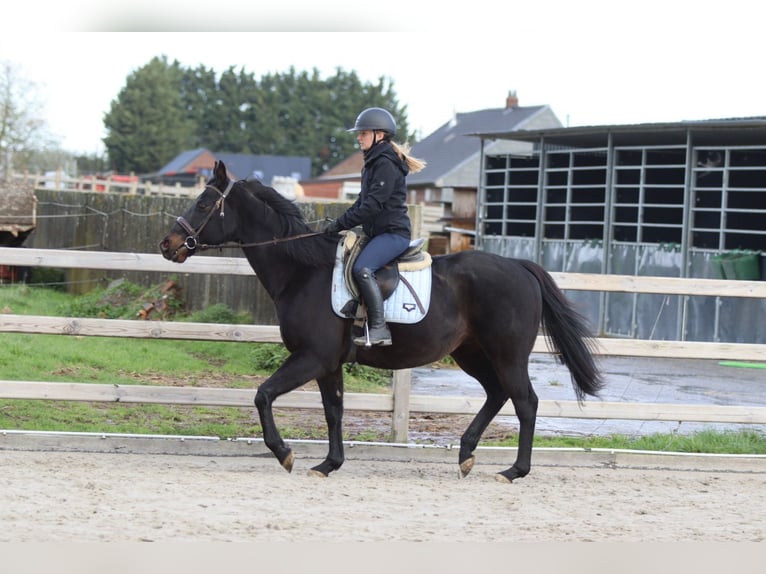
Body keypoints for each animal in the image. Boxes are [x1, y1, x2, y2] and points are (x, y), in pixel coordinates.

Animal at [159, 160, 604, 483]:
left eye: (203, 205)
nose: (168, 245)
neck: (303, 272)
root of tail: (520, 266)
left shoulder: (313, 357)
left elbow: (263, 395)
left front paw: (285, 454)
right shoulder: (329, 364)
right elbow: (333, 411)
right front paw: (329, 464)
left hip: (507, 354)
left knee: (525, 401)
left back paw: (514, 471)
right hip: (471, 353)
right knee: (497, 394)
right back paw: (466, 455)